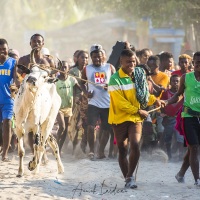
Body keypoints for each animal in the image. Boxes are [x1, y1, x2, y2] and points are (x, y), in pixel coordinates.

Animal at [13, 48, 64, 177]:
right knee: (50, 143)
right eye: (30, 71)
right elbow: (21, 151)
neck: (27, 106)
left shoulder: (36, 127)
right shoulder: (18, 128)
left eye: (44, 76)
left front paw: (32, 165)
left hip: (48, 123)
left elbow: (36, 147)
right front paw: (20, 172)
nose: (32, 79)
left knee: (42, 146)